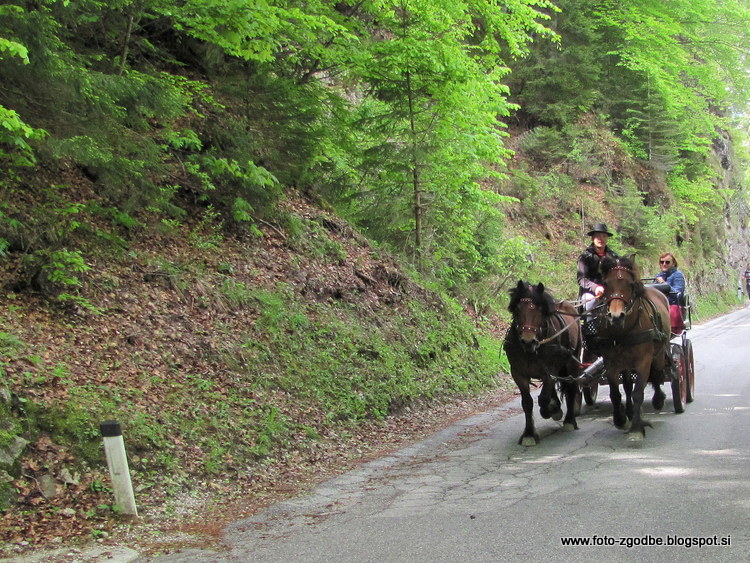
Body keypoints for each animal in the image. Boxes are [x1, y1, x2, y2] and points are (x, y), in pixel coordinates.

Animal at [508, 280, 584, 446]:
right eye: (518, 309)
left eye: (540, 310)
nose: (528, 341)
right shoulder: (518, 373)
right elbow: (527, 403)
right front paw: (529, 434)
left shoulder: (551, 369)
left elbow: (543, 398)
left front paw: (551, 410)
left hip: (573, 361)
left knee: (571, 388)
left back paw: (569, 420)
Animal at [596, 258, 672, 442]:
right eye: (606, 284)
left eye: (630, 284)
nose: (616, 316)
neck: (622, 332)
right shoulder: (611, 363)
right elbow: (616, 393)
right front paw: (620, 419)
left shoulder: (643, 361)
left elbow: (638, 393)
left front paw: (636, 428)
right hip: (625, 364)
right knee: (628, 385)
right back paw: (630, 412)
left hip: (659, 354)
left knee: (657, 374)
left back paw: (658, 399)